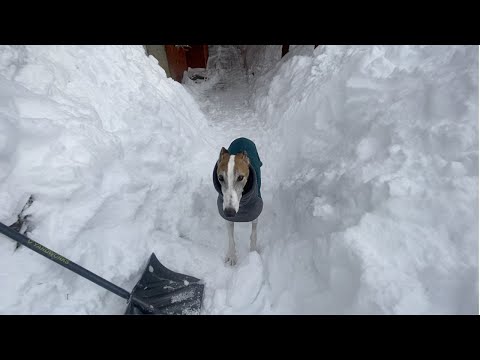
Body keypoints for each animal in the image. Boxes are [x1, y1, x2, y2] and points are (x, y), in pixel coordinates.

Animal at [212, 136, 262, 266]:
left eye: (240, 177)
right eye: (220, 177)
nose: (229, 212)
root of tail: (242, 137)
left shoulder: (255, 213)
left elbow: (254, 233)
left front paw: (253, 255)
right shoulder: (227, 217)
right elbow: (231, 237)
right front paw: (232, 256)